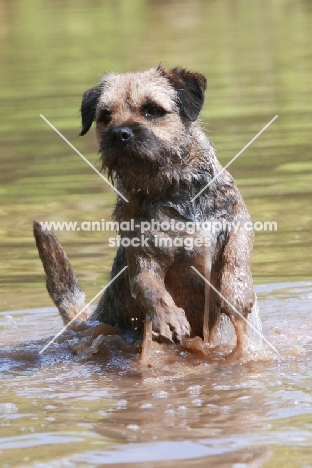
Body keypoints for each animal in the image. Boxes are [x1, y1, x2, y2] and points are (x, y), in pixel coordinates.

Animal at [33, 65, 255, 358]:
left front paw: (236, 292)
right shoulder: (144, 255)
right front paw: (168, 317)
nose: (119, 134)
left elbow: (236, 252)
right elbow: (148, 286)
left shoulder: (237, 219)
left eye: (152, 110)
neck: (172, 188)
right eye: (105, 116)